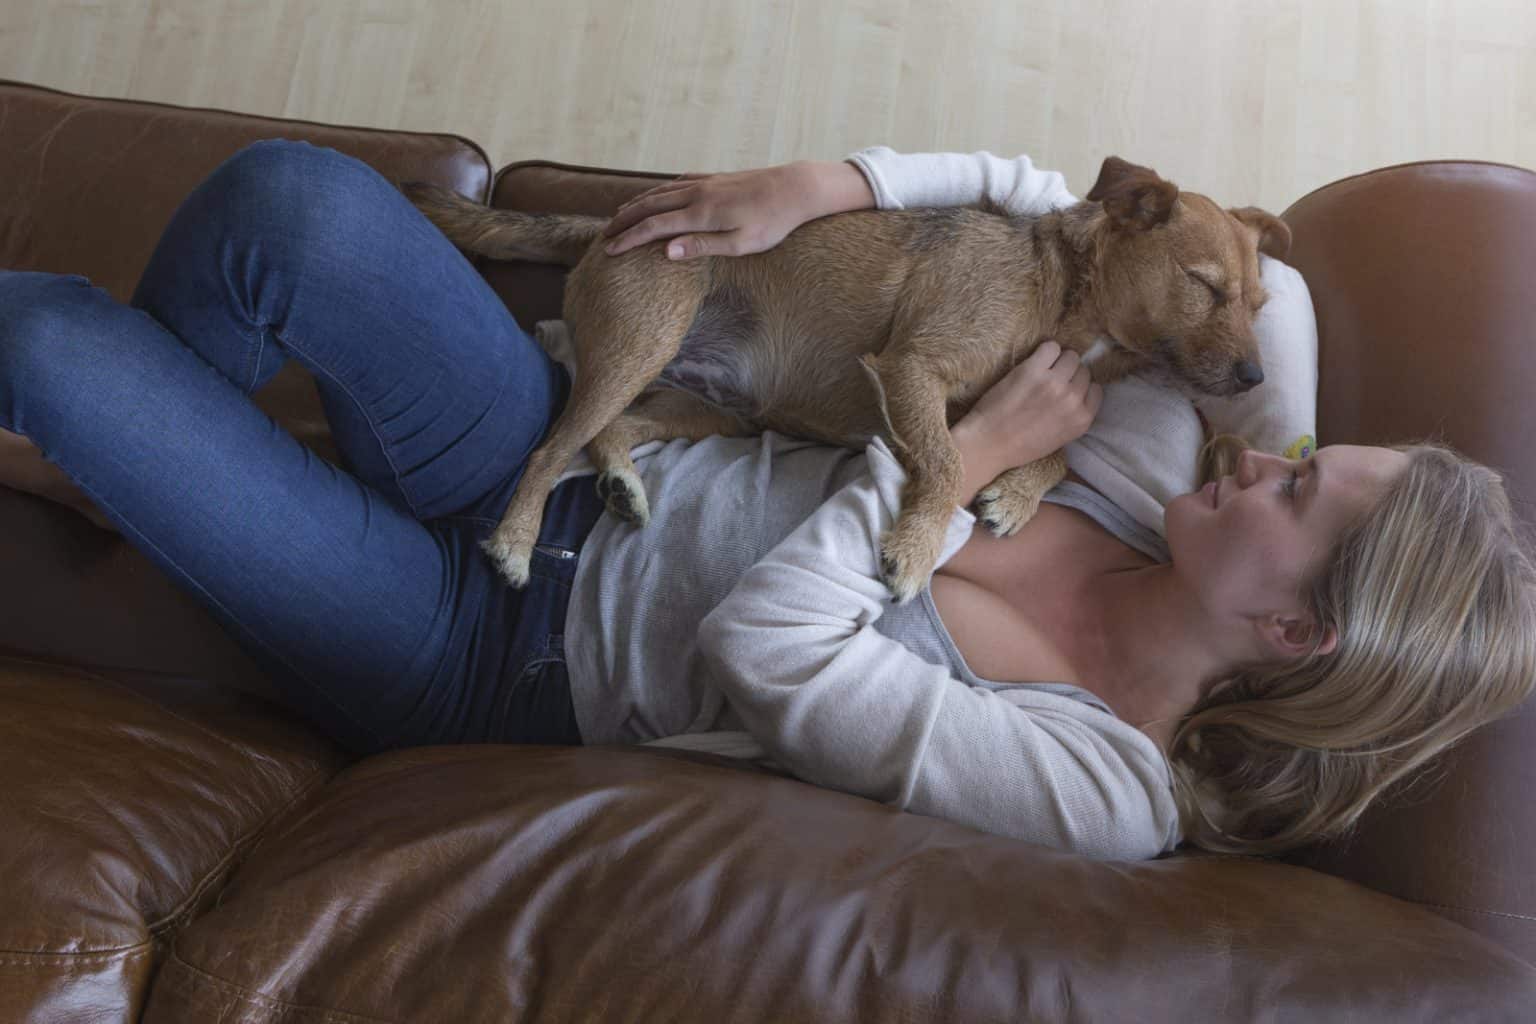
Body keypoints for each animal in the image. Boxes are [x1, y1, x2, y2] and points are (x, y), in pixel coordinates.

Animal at [402, 157, 1290, 604]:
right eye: (1205, 287)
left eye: (1260, 305)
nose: (1255, 375)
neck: (1062, 292)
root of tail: (606, 225)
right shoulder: (914, 370)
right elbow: (947, 463)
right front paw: (918, 546)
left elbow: (1056, 453)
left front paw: (1017, 492)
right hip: (636, 349)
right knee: (552, 447)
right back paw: (516, 541)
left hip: (710, 406)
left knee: (610, 434)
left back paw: (621, 481)